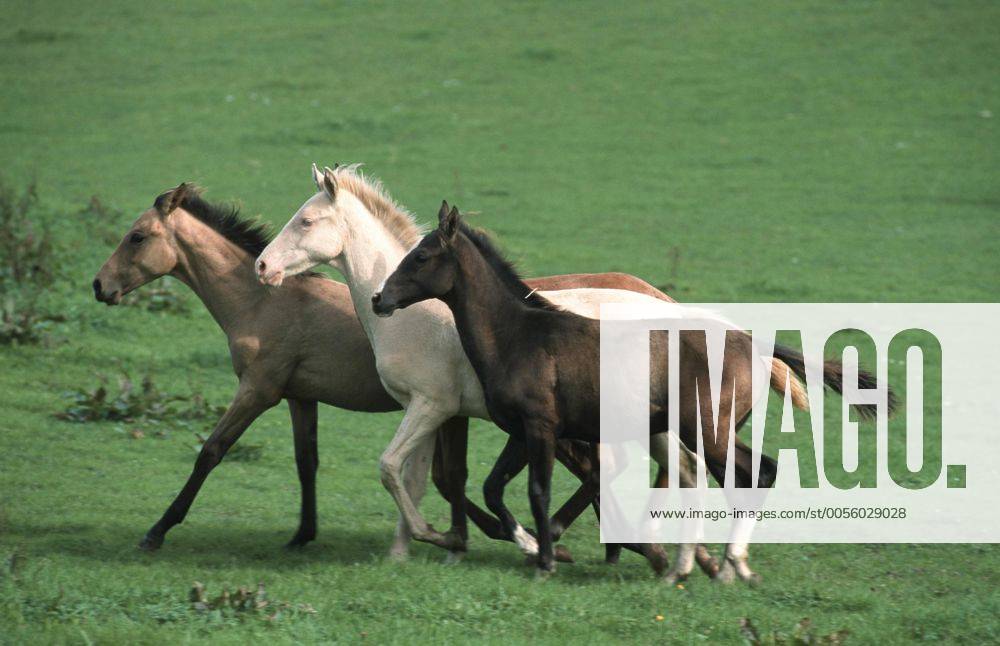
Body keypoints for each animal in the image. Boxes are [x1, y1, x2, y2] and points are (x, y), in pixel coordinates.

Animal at [91, 183, 708, 564]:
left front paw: (157, 531)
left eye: (137, 236)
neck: (264, 306)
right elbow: (345, 467)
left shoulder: (266, 390)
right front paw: (383, 543)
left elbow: (214, 452)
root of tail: (662, 301)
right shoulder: (316, 398)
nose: (99, 286)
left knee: (625, 470)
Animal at [256, 165, 809, 579]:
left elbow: (397, 468)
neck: (423, 317)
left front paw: (464, 541)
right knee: (684, 474)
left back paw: (676, 559)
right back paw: (682, 561)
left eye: (305, 220)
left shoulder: (434, 405)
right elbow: (427, 478)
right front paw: (418, 549)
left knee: (693, 473)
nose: (262, 267)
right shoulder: (445, 413)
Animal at [373, 203, 893, 580]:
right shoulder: (522, 431)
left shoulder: (541, 427)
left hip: (709, 431)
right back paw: (718, 566)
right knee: (739, 478)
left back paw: (725, 566)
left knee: (758, 472)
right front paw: (533, 545)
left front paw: (545, 560)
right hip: (710, 433)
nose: (380, 298)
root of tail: (752, 343)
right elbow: (494, 487)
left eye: (421, 256)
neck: (520, 335)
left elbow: (538, 490)